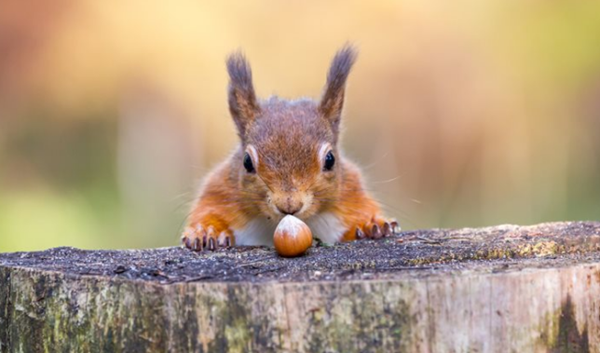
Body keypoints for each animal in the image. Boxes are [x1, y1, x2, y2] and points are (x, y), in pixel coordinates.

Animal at [180, 46, 400, 250]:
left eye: (330, 159)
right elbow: (209, 211)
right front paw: (206, 231)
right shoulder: (219, 191)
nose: (289, 205)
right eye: (247, 162)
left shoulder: (351, 192)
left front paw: (372, 224)